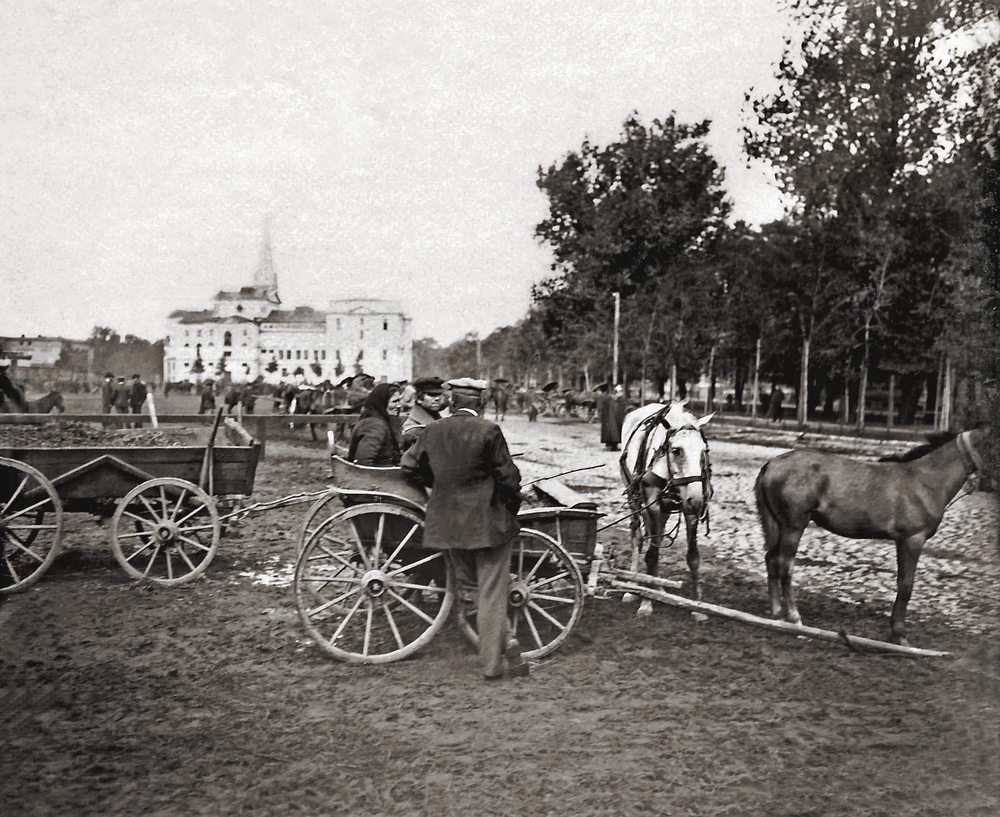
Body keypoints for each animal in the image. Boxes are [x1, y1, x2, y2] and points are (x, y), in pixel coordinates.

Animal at [620, 398, 716, 616]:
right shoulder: (652, 506)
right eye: (676, 450)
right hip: (634, 500)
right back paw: (633, 587)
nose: (698, 501)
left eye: (704, 451)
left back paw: (658, 587)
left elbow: (693, 557)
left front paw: (697, 606)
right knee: (638, 539)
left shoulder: (689, 510)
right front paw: (646, 603)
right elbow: (652, 555)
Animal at [756, 428, 992, 644]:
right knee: (785, 565)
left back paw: (777, 613)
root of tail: (772, 464)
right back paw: (794, 617)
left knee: (771, 560)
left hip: (779, 527)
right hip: (794, 527)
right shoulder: (911, 540)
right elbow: (906, 584)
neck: (923, 481)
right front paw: (898, 634)